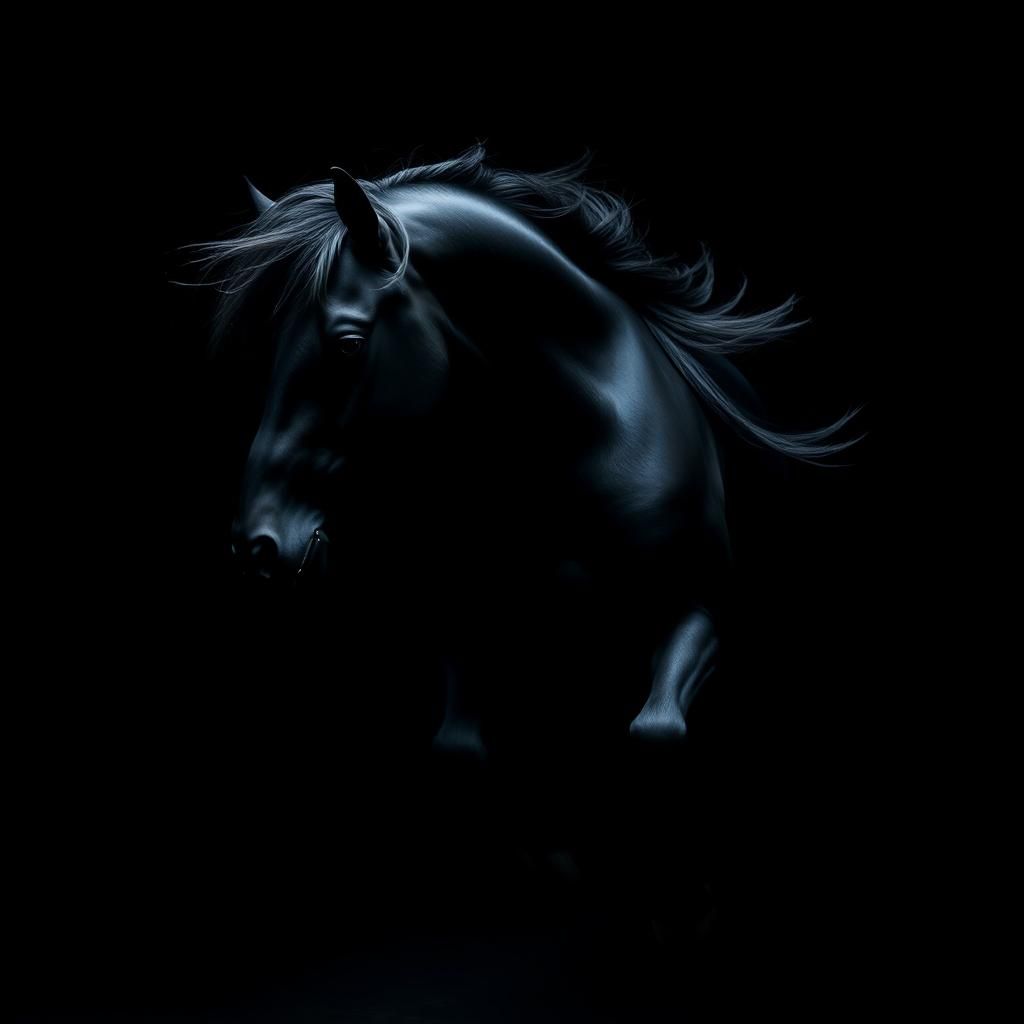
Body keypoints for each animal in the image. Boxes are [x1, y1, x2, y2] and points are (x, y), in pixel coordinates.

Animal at [195, 146, 858, 773]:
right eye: (270, 344)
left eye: (348, 343)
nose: (255, 543)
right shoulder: (470, 631)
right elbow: (456, 741)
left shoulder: (700, 611)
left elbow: (657, 729)